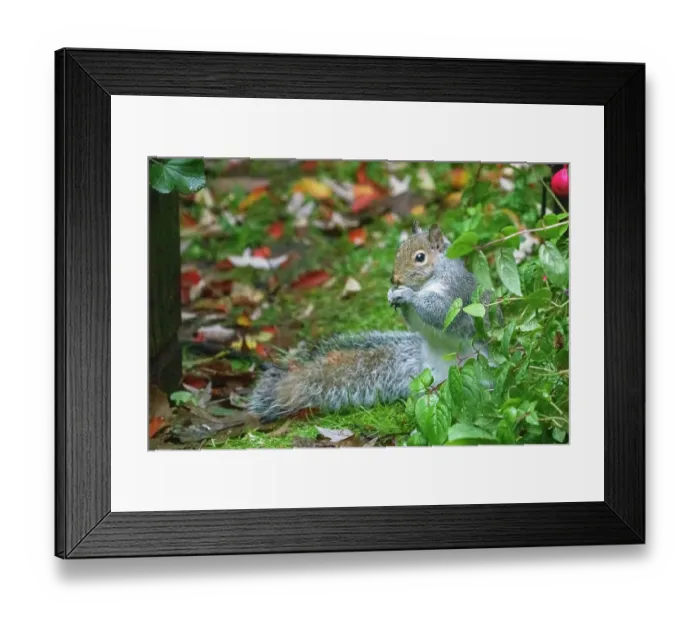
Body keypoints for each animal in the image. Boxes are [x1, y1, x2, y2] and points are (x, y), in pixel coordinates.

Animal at [249, 222, 499, 423]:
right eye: (398, 250)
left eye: (420, 257)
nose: (394, 278)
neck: (429, 279)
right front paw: (392, 294)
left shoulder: (457, 294)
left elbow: (441, 312)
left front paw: (407, 295)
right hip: (431, 377)